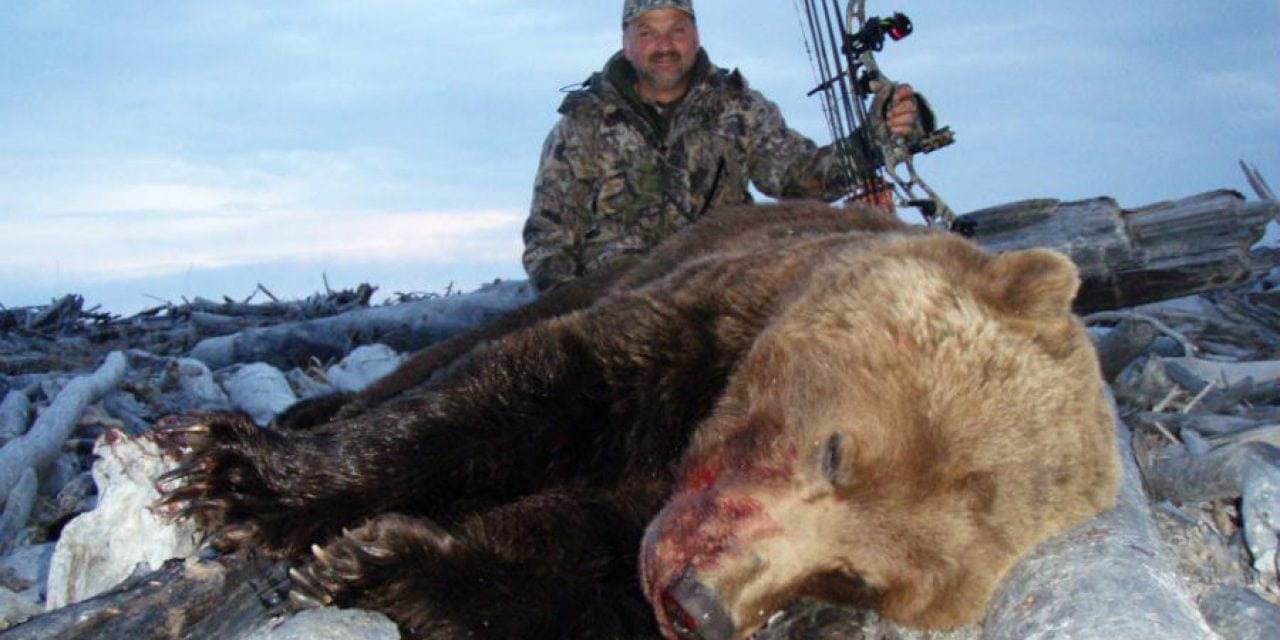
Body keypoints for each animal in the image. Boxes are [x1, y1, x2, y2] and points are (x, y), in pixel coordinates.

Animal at [157, 200, 1121, 640]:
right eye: (837, 452)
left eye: (858, 580)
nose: (698, 605)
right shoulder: (692, 324)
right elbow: (512, 397)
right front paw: (244, 479)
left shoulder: (643, 523)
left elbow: (573, 564)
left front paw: (377, 563)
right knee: (453, 349)